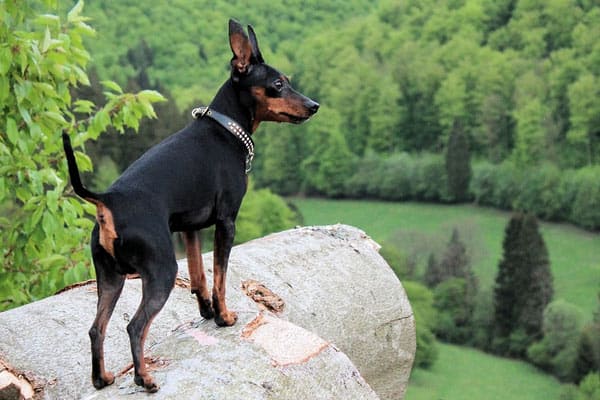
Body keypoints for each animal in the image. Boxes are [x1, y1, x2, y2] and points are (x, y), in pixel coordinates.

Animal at [62, 20, 318, 392]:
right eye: (278, 84)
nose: (314, 105)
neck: (226, 129)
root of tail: (107, 200)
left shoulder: (190, 228)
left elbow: (199, 277)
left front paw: (207, 313)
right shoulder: (226, 222)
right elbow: (220, 276)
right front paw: (224, 317)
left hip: (110, 278)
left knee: (97, 328)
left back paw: (102, 378)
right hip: (161, 271)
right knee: (135, 326)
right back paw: (144, 378)